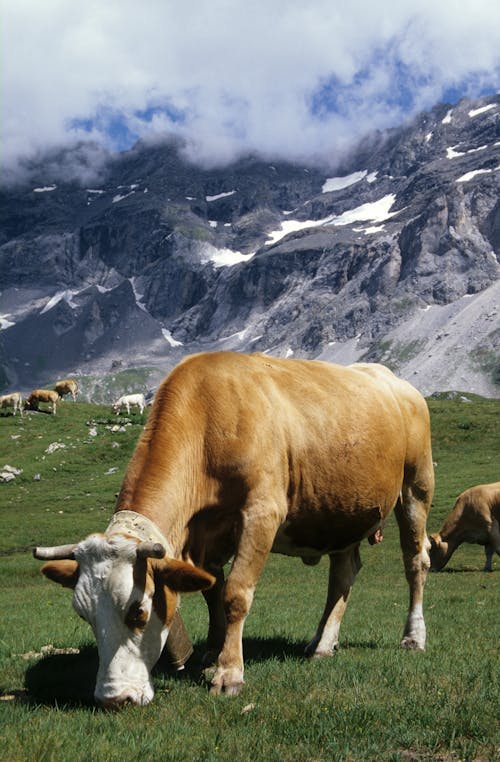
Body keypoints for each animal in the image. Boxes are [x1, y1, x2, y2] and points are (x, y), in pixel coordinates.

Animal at [34, 354, 434, 704]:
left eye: (139, 612)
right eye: (84, 614)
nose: (114, 698)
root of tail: (395, 381)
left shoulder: (261, 514)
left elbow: (236, 594)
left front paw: (229, 672)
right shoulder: (206, 538)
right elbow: (213, 592)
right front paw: (212, 652)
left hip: (416, 487)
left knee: (415, 562)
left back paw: (413, 637)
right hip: (341, 511)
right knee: (344, 573)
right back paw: (322, 643)